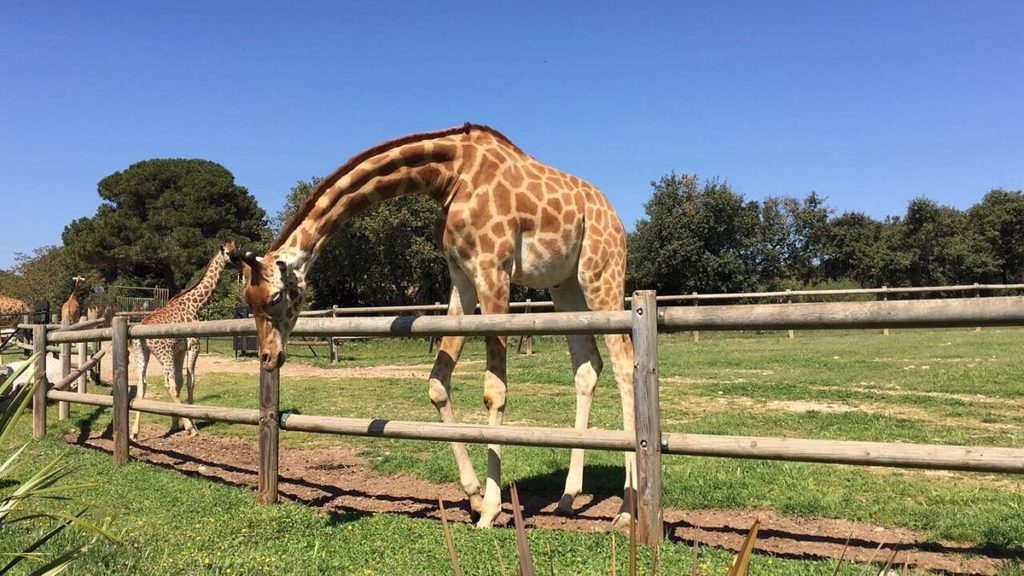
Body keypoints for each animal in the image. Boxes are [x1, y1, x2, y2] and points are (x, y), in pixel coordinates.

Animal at [130, 242, 236, 440]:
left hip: (141, 353)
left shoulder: (179, 350)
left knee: (142, 384)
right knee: (168, 384)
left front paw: (175, 423)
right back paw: (190, 429)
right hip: (164, 354)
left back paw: (134, 432)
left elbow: (180, 381)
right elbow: (190, 380)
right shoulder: (194, 344)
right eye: (231, 253)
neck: (195, 304)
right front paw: (189, 423)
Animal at [231, 124, 636, 529]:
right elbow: (437, 384)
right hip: (565, 285)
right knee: (588, 366)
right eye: (247, 300)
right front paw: (474, 497)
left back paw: (627, 509)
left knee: (625, 364)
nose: (268, 356)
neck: (451, 175)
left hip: (601, 274)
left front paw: (491, 509)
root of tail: (615, 217)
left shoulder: (493, 271)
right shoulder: (462, 276)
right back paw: (568, 498)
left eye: (275, 298)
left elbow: (495, 392)